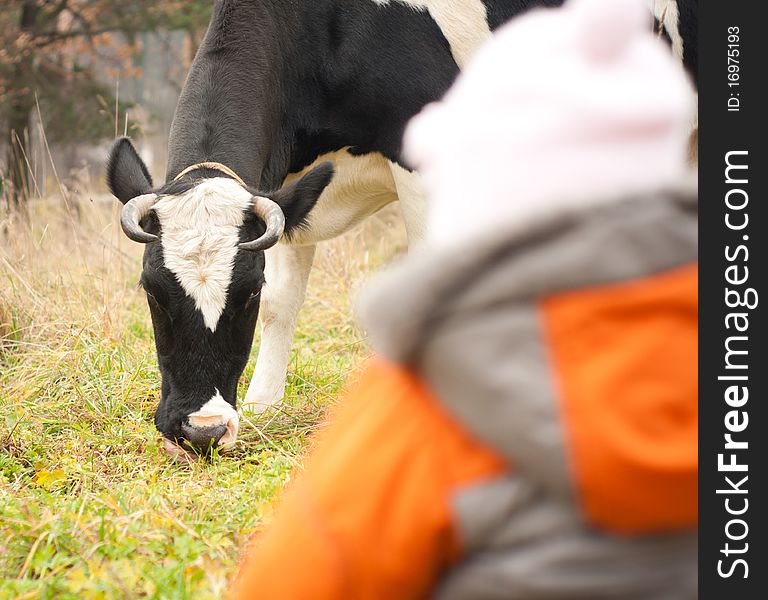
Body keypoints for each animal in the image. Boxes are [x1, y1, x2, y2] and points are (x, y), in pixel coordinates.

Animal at [103, 0, 696, 458]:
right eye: (151, 291)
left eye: (244, 293)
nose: (201, 431)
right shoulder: (288, 186)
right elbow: (284, 303)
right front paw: (263, 404)